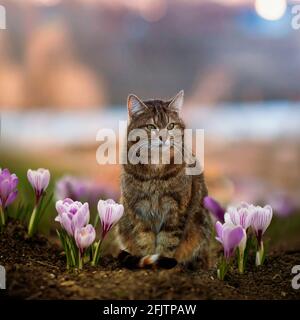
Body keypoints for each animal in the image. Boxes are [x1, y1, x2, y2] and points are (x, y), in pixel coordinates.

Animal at [115, 90, 211, 270]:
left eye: (170, 126)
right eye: (151, 127)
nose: (163, 137)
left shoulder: (176, 208)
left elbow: (168, 240)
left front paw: (163, 260)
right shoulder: (138, 208)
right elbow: (144, 239)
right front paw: (150, 261)